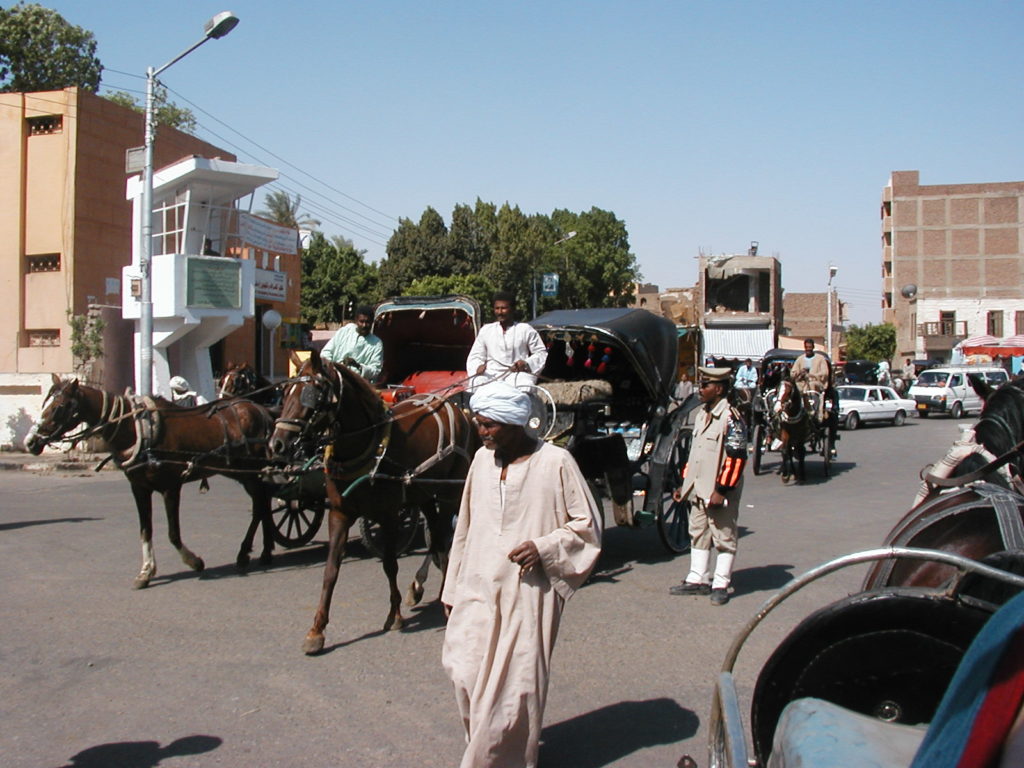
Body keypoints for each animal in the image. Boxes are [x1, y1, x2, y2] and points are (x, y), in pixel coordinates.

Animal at [26, 376, 278, 589]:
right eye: (45, 404)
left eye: (58, 407)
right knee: (262, 504)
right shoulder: (139, 488)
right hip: (242, 473)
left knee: (260, 506)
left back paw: (249, 552)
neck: (138, 429)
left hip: (252, 471)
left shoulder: (170, 487)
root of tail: (261, 409)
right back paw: (264, 551)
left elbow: (173, 533)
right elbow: (145, 530)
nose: (30, 442)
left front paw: (194, 561)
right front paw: (146, 572)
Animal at [270, 352, 481, 651]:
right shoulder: (339, 512)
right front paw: (316, 630)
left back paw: (440, 594)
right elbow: (331, 570)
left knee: (444, 539)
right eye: (285, 391)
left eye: (312, 394)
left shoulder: (390, 514)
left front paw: (395, 616)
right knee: (438, 541)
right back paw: (424, 588)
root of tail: (459, 412)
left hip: (451, 493)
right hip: (425, 495)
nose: (276, 444)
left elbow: (390, 564)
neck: (368, 445)